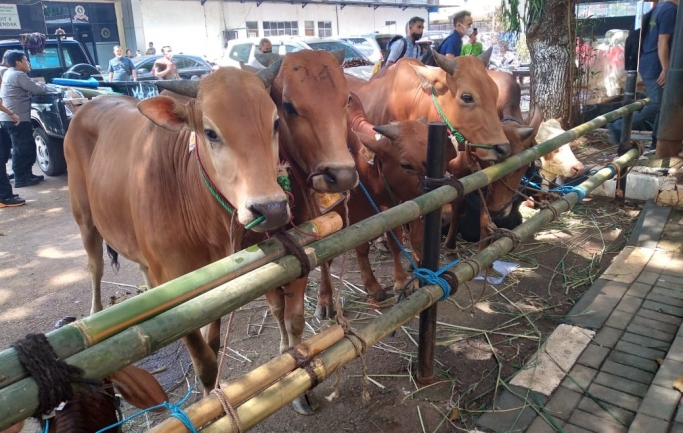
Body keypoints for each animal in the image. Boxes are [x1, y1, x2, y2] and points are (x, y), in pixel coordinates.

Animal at [68, 63, 292, 392]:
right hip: (84, 218)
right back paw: (95, 313)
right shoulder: (168, 278)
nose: (271, 208)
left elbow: (212, 342)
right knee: (94, 267)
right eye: (210, 132)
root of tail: (89, 104)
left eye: (275, 123)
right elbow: (204, 360)